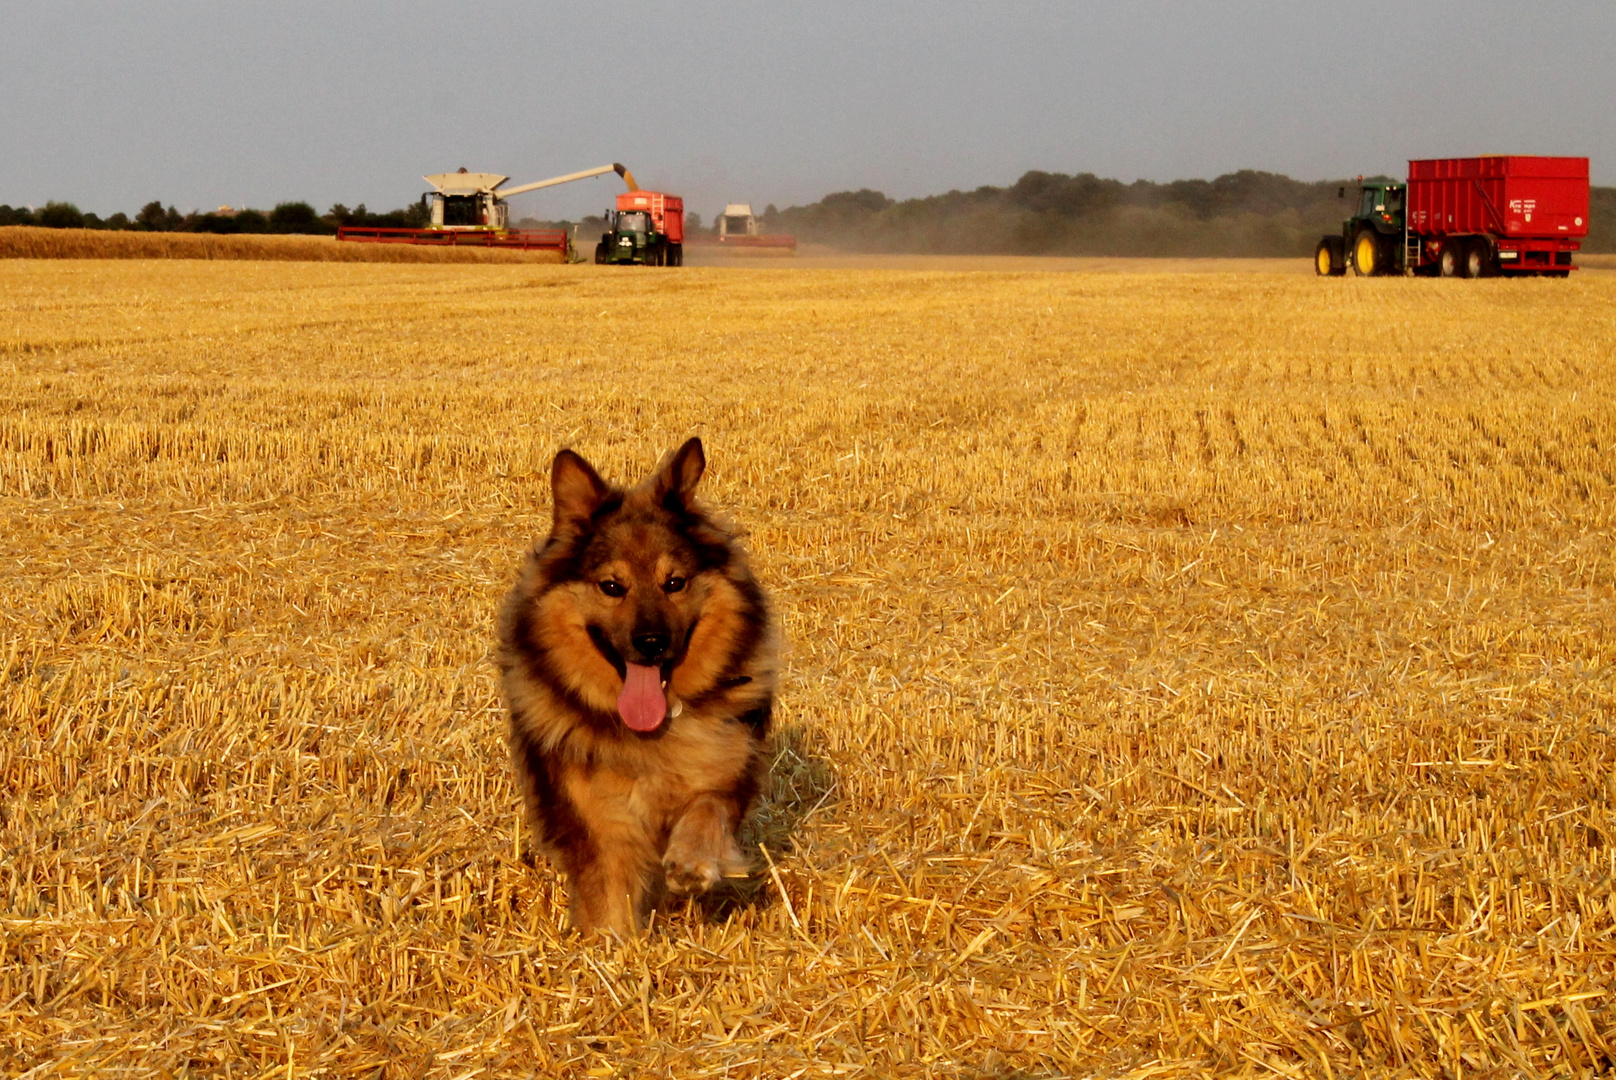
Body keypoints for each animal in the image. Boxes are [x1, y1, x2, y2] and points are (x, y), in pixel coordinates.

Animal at [494, 439, 778, 937]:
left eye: (674, 583)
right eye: (612, 586)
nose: (651, 642)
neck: (654, 729)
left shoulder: (728, 771)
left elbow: (707, 808)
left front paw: (690, 862)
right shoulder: (598, 826)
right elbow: (608, 906)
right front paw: (611, 951)